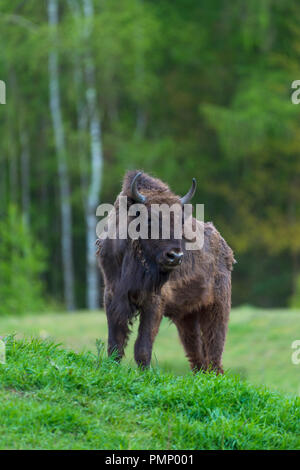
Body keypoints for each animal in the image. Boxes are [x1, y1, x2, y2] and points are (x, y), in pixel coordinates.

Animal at [97, 171, 236, 372]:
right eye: (149, 219)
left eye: (180, 221)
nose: (175, 256)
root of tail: (224, 246)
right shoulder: (112, 298)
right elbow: (115, 344)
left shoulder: (153, 302)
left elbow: (142, 347)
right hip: (187, 316)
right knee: (196, 354)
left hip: (217, 306)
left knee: (214, 349)